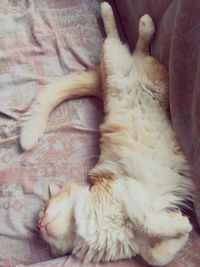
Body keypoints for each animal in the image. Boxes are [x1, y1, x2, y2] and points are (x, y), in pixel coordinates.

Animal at [19, 2, 194, 267]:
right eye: (39, 233)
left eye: (44, 208)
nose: (39, 224)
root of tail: (104, 85)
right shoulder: (141, 244)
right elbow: (157, 255)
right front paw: (182, 229)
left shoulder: (127, 190)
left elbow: (146, 220)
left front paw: (182, 224)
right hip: (150, 78)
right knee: (137, 51)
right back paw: (141, 24)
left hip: (120, 66)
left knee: (118, 40)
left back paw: (122, 15)